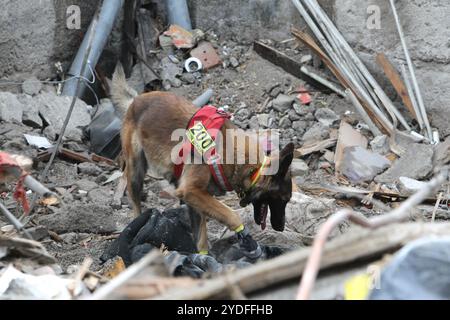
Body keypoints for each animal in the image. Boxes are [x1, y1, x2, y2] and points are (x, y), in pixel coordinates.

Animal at [111, 63, 296, 260]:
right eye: (283, 199)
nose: (280, 227)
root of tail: (136, 100)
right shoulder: (192, 191)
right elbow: (232, 215)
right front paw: (246, 238)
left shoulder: (194, 198)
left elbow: (201, 236)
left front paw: (204, 259)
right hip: (136, 170)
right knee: (135, 201)